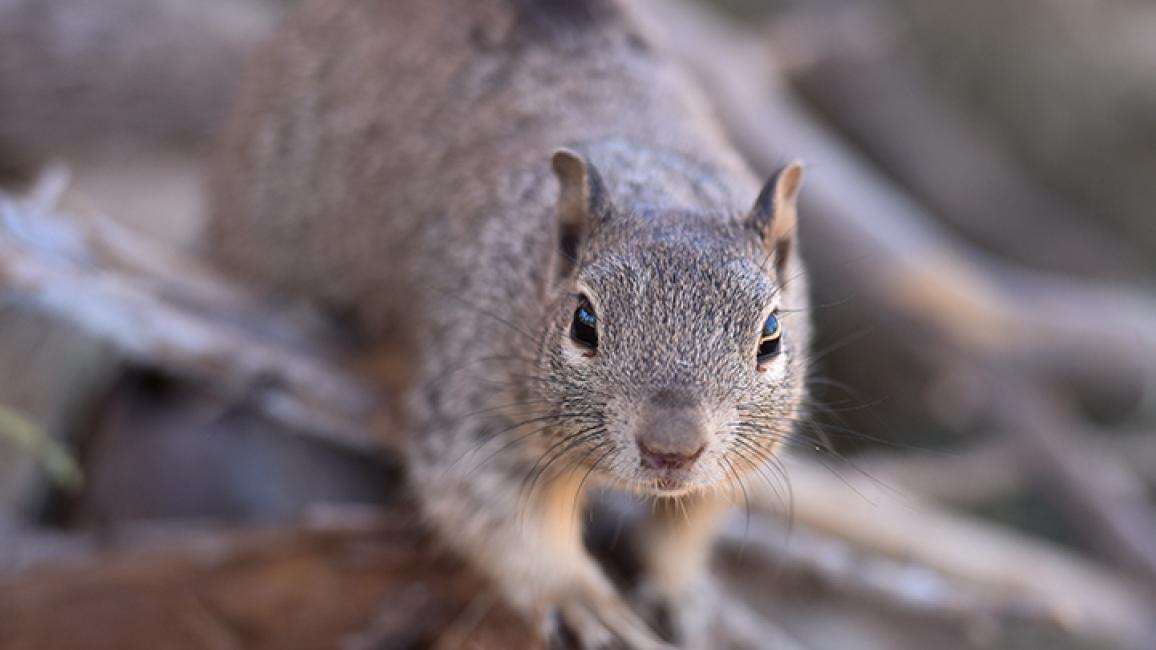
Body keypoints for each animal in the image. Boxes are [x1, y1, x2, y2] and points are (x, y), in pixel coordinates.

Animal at [210, 0, 810, 647]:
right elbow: (498, 511)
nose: (672, 449)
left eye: (771, 335)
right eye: (583, 322)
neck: (655, 181)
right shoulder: (472, 404)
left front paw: (677, 588)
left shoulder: (745, 452)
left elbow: (693, 519)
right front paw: (580, 599)